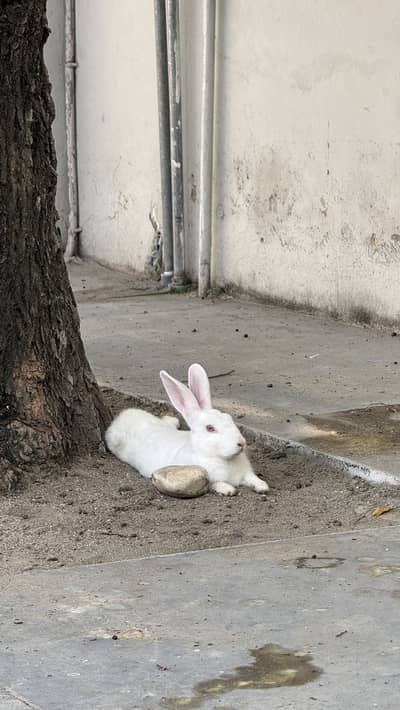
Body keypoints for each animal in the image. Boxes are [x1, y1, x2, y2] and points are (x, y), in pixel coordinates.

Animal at [105, 363, 269, 496]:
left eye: (229, 418)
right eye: (210, 428)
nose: (241, 443)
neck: (223, 459)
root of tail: (123, 416)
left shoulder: (246, 473)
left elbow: (252, 478)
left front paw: (263, 487)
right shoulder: (208, 478)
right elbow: (215, 483)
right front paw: (229, 490)